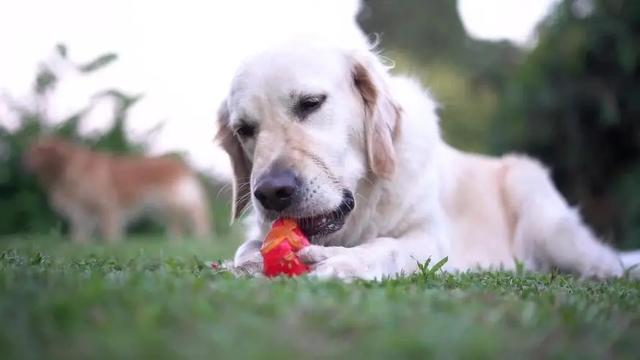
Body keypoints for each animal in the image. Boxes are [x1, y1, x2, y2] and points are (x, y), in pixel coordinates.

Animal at [24, 137, 210, 242]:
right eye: (29, 152)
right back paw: (175, 241)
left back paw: (202, 239)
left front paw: (112, 244)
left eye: (40, 153)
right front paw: (78, 245)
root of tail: (181, 164)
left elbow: (109, 231)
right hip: (160, 207)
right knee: (176, 222)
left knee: (198, 214)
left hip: (175, 200)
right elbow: (80, 230)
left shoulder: (106, 205)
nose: (24, 163)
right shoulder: (82, 209)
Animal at [216, 40, 640, 282]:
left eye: (310, 103)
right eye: (245, 130)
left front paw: (344, 263)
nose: (272, 192)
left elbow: (388, 246)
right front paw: (246, 265)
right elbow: (247, 248)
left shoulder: (431, 237)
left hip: (545, 218)